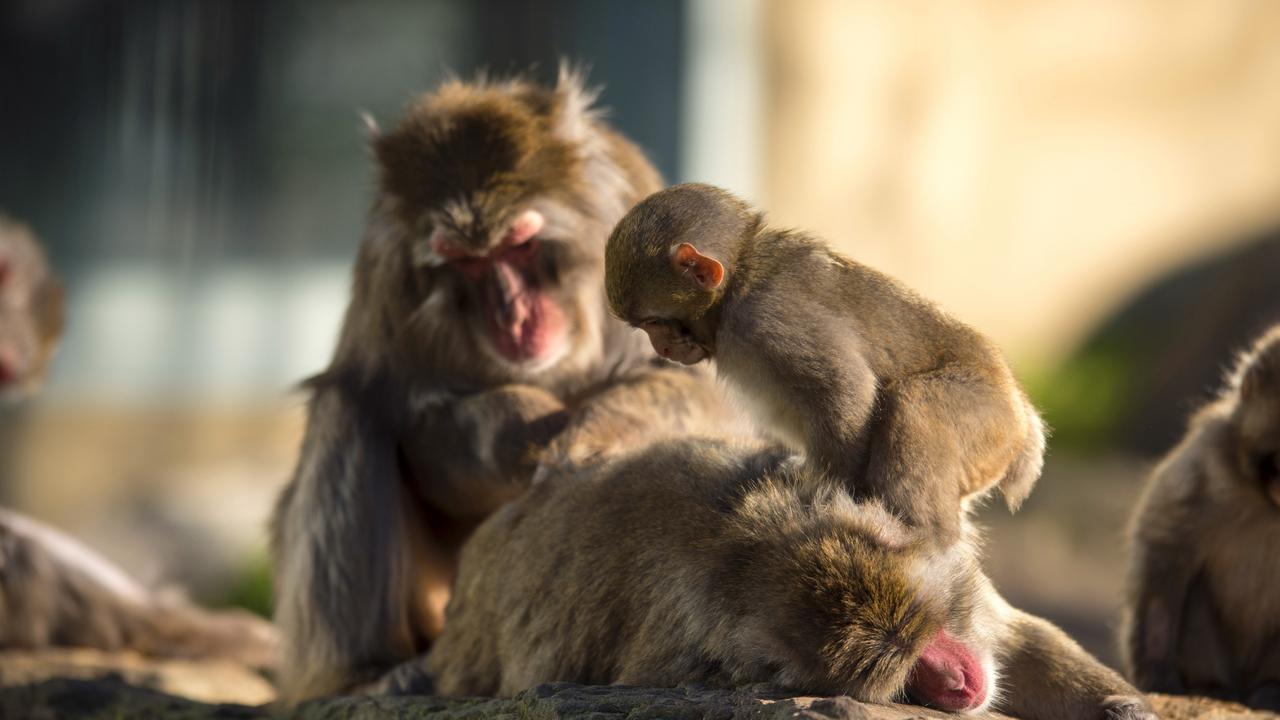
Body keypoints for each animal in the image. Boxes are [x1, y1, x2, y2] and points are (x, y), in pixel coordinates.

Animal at [272, 70, 732, 696]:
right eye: (467, 262)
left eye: (519, 245)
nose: (512, 316)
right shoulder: (389, 274)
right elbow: (418, 428)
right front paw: (521, 432)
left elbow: (701, 387)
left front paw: (592, 431)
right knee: (348, 407)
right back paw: (360, 672)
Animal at [384, 430, 1157, 717]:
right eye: (908, 669)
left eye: (933, 639)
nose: (961, 684)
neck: (756, 549)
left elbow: (1020, 639)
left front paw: (1122, 706)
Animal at [604, 181, 1044, 540]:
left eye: (654, 323)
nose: (660, 348)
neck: (739, 278)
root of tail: (1022, 419)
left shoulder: (767, 317)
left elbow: (847, 387)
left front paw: (828, 495)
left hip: (986, 420)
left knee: (915, 402)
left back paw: (920, 532)